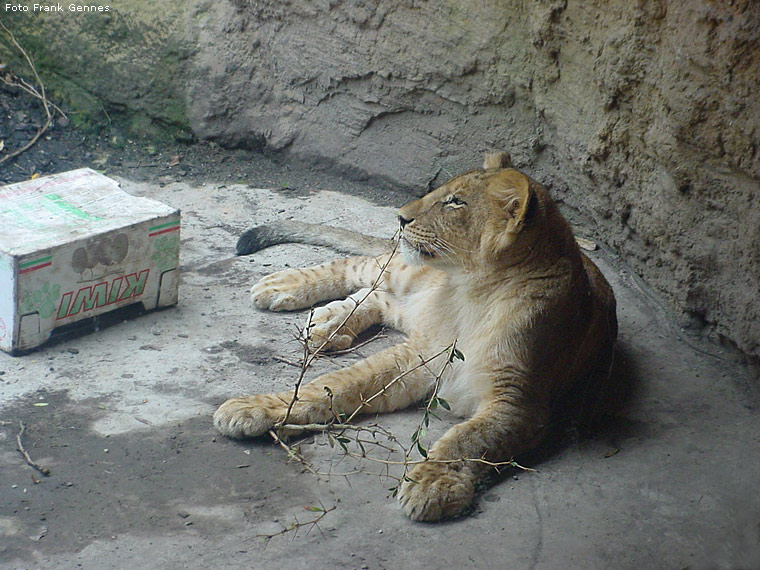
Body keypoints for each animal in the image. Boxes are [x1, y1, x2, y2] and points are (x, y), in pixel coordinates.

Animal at [214, 150, 616, 520]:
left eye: (455, 202)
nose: (400, 216)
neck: (473, 293)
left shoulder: (520, 401)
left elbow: (467, 439)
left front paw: (430, 484)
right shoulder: (420, 355)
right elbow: (336, 384)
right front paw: (255, 408)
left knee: (376, 295)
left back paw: (328, 327)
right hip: (407, 271)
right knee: (359, 268)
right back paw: (285, 288)